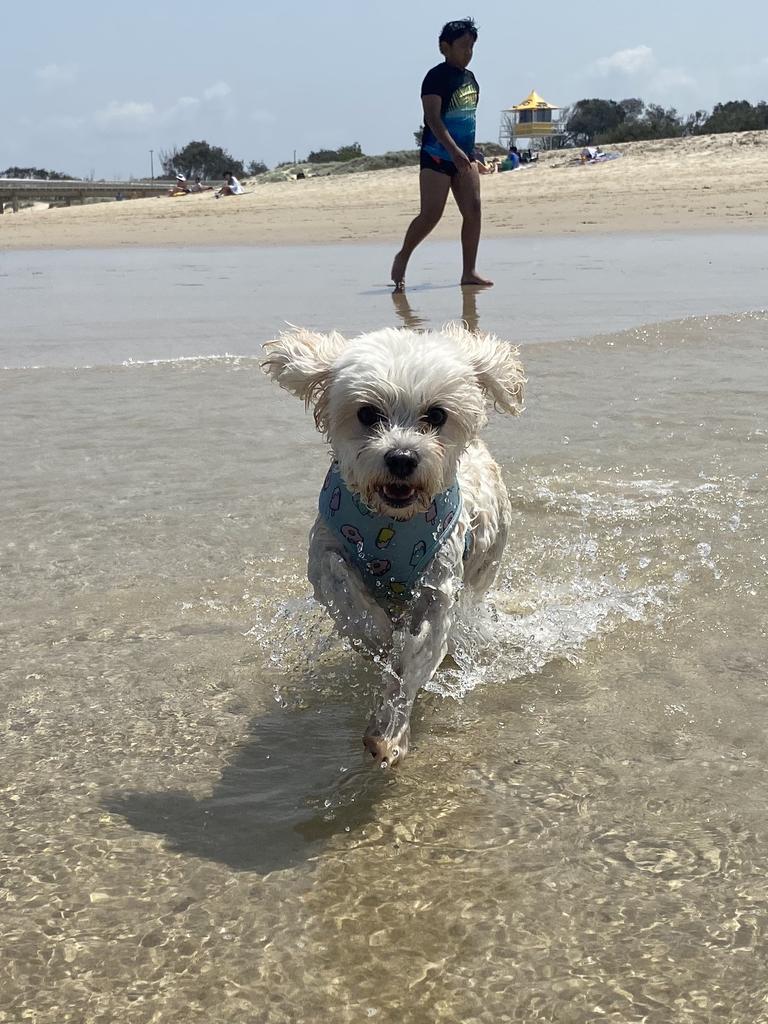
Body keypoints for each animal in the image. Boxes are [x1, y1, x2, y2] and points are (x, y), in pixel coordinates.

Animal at [262, 323, 528, 765]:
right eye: (368, 413)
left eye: (436, 415)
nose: (402, 457)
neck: (390, 523)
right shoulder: (325, 552)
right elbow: (341, 585)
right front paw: (376, 635)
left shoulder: (438, 587)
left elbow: (413, 656)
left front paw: (389, 733)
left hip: (484, 567)